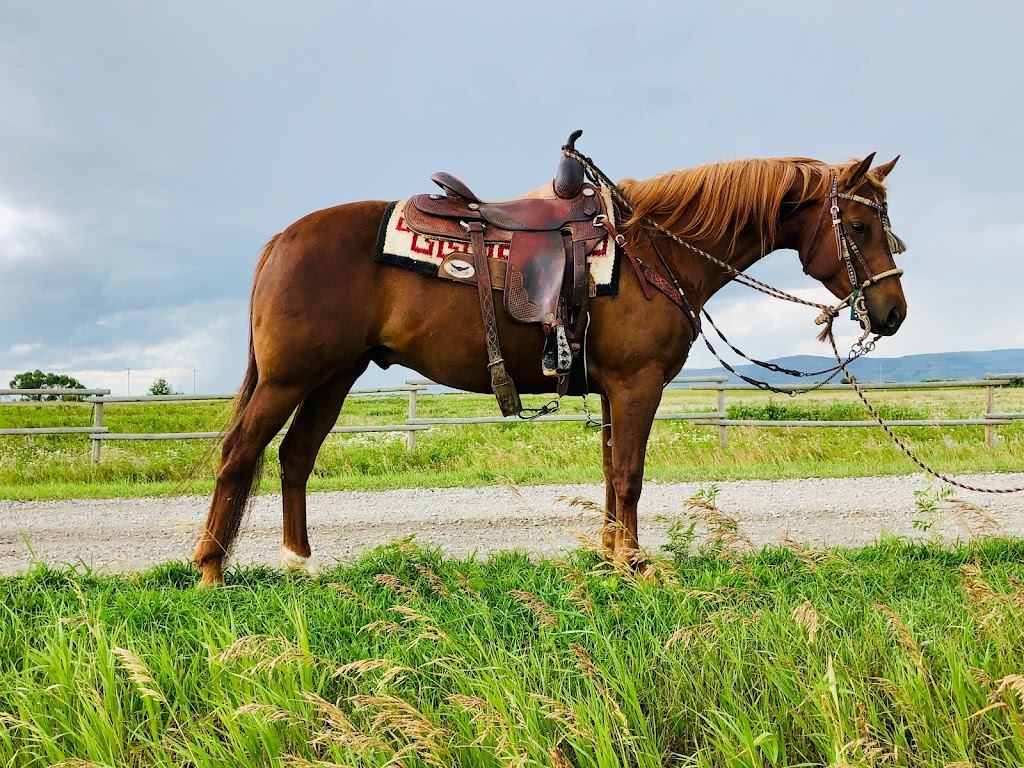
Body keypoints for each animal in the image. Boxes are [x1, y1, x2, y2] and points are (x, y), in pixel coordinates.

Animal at [192, 150, 905, 585]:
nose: (893, 311)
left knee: (295, 456)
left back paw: (298, 562)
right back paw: (210, 571)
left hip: (333, 376)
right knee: (240, 453)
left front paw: (611, 555)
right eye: (860, 225)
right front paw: (633, 563)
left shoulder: (614, 389)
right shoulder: (637, 386)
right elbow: (630, 475)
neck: (652, 250)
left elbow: (612, 475)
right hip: (289, 378)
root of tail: (280, 240)